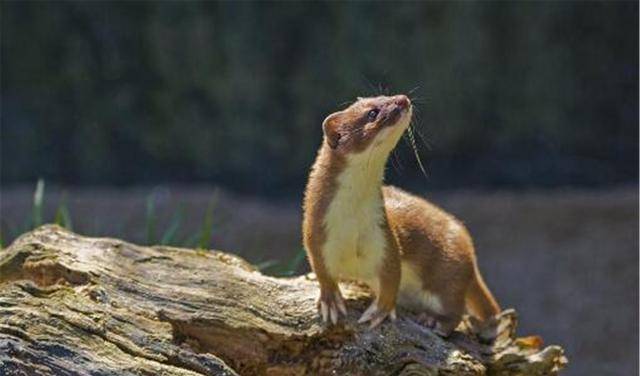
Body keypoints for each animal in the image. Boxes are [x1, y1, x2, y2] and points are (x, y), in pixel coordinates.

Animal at [302, 94, 502, 334]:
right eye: (372, 112)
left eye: (385, 95)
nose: (403, 99)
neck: (352, 222)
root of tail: (468, 248)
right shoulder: (316, 235)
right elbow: (322, 271)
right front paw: (330, 301)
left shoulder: (384, 237)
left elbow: (391, 277)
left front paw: (379, 311)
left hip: (447, 273)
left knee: (455, 310)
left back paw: (433, 320)